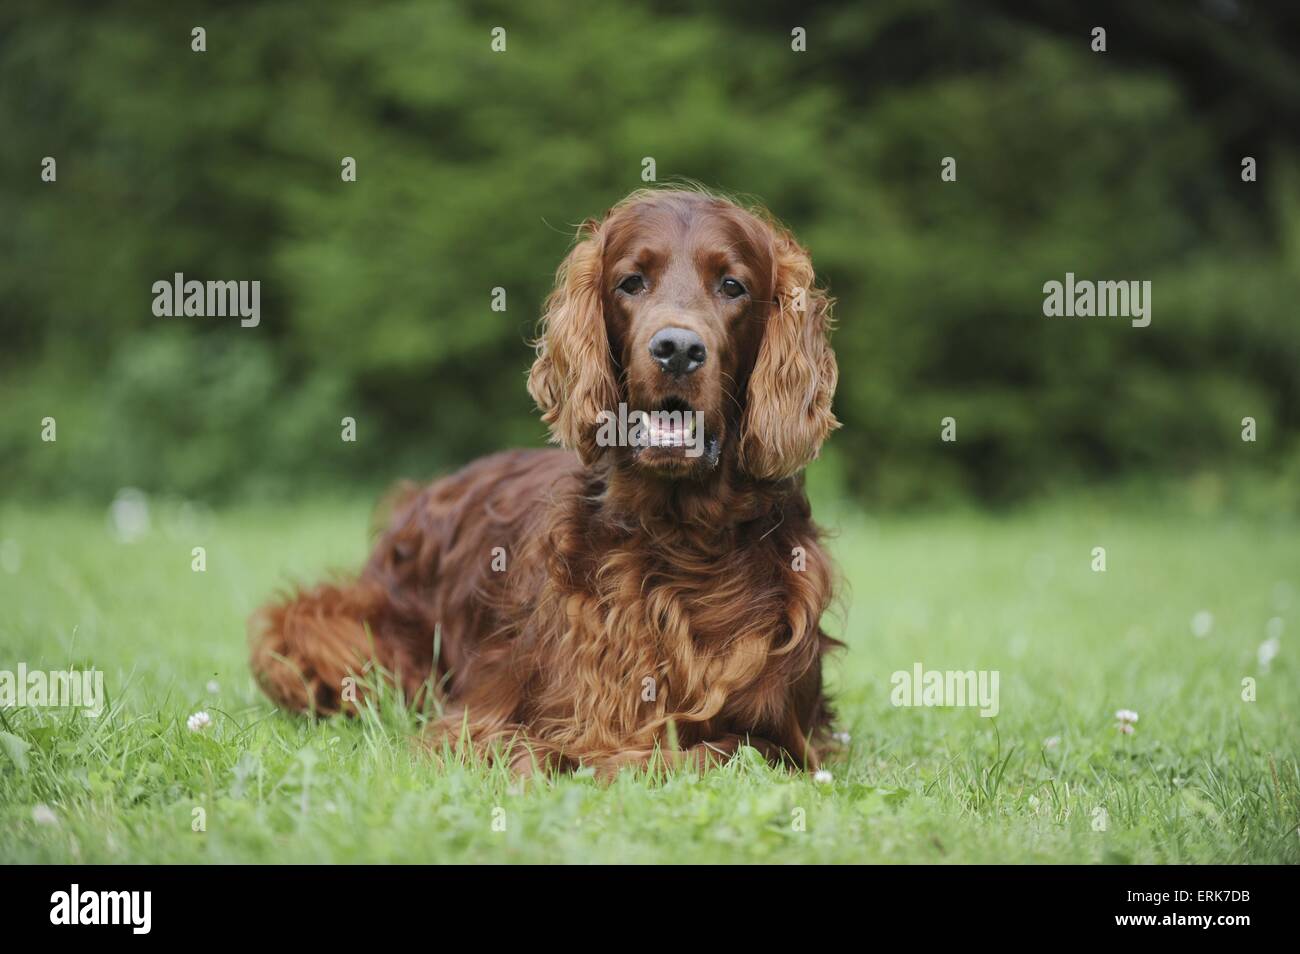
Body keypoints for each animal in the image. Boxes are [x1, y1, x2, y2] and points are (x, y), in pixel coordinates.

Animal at [250, 188, 842, 779]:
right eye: (632, 282)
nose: (677, 349)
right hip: (324, 634)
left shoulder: (791, 739)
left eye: (732, 286)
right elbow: (545, 750)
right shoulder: (487, 720)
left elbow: (727, 750)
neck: (682, 538)